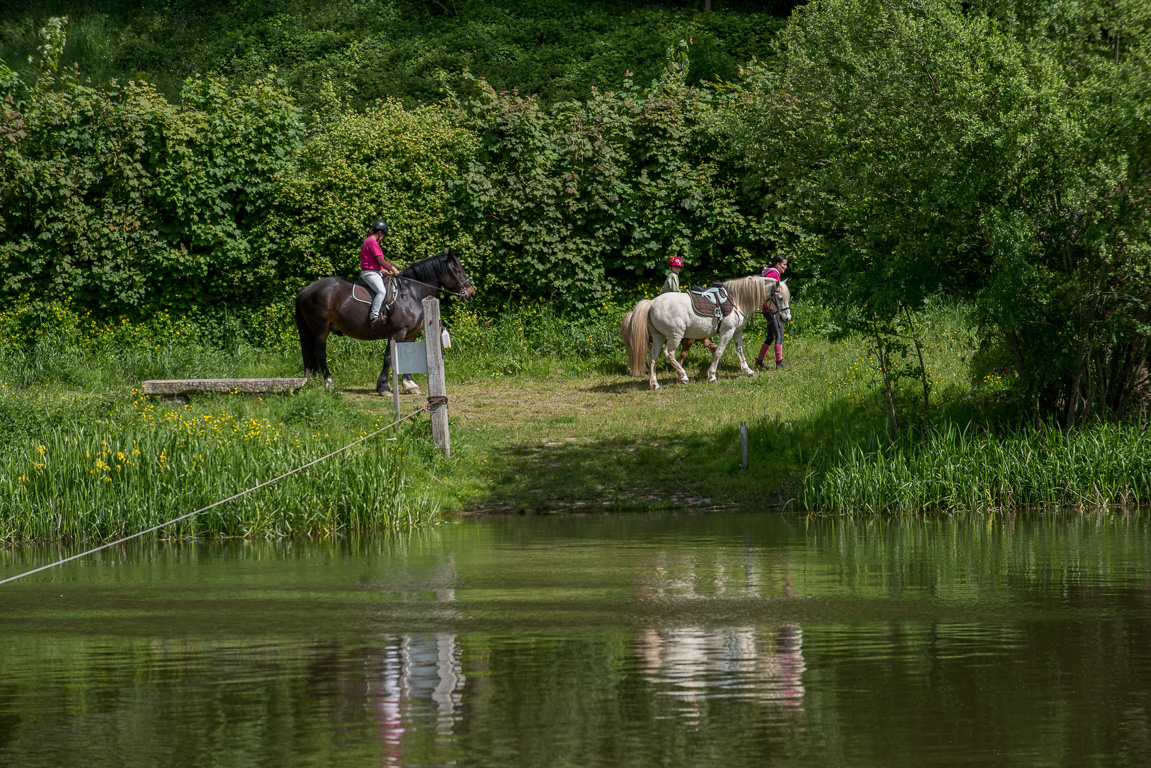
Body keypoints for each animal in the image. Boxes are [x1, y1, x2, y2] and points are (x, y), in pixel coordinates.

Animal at [299, 252, 478, 396]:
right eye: (457, 271)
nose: (471, 293)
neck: (411, 293)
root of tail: (306, 289)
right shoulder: (397, 332)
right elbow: (389, 358)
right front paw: (384, 388)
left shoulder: (411, 334)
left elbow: (407, 355)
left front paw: (409, 385)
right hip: (320, 329)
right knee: (320, 353)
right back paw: (329, 383)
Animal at [626, 276, 787, 391]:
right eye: (780, 298)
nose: (786, 318)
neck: (738, 300)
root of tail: (652, 303)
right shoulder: (727, 332)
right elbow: (719, 352)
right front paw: (712, 376)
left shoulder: (737, 332)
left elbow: (740, 350)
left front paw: (748, 371)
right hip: (675, 336)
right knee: (669, 354)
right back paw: (683, 376)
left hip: (659, 336)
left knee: (653, 356)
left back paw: (655, 384)